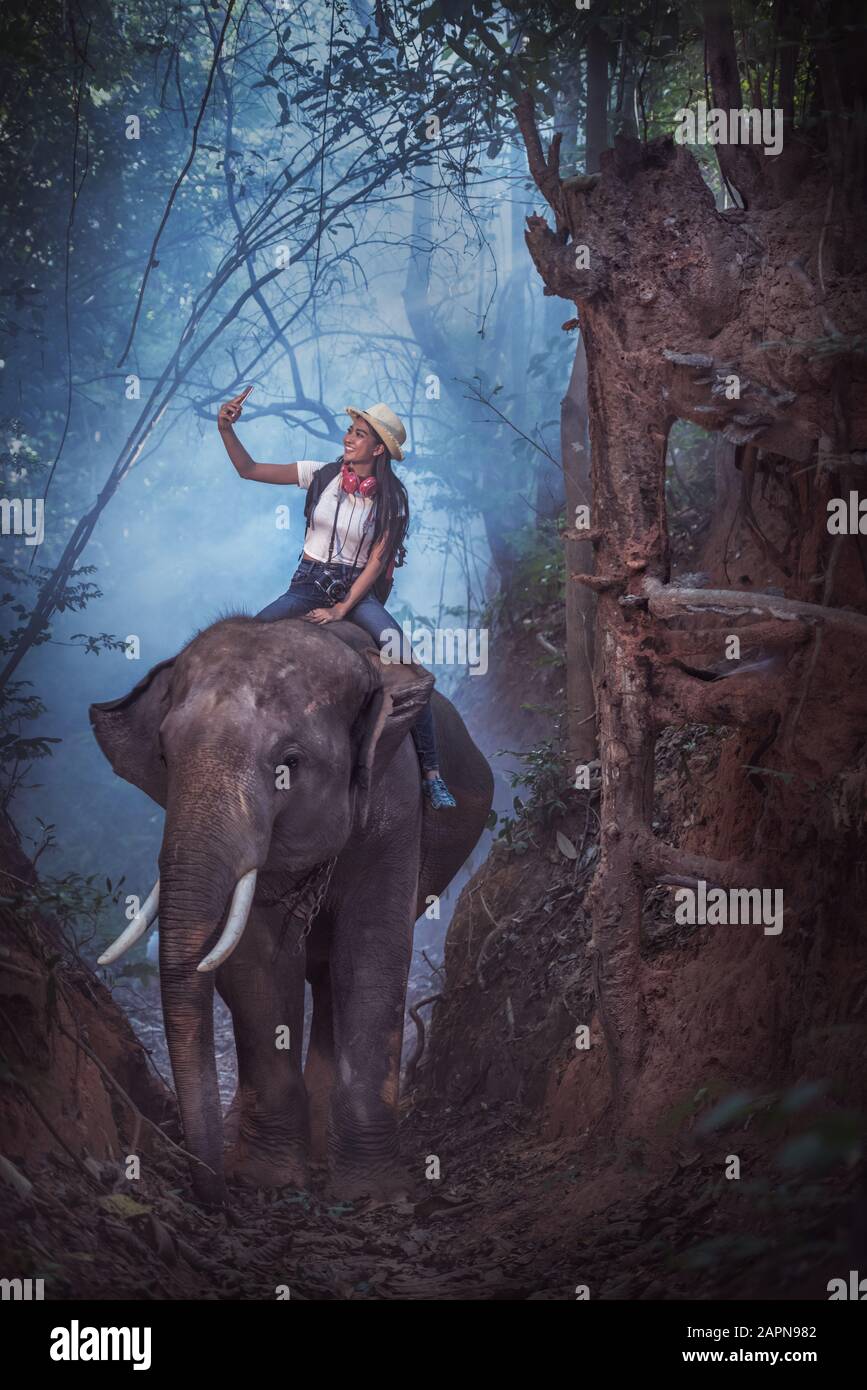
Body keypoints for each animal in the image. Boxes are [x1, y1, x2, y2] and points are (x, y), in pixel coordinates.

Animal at [90, 615, 493, 1205]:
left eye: (291, 764)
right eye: (163, 756)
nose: (213, 1197)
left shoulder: (396, 806)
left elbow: (371, 954)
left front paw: (372, 1191)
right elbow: (259, 961)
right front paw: (268, 1180)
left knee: (332, 978)